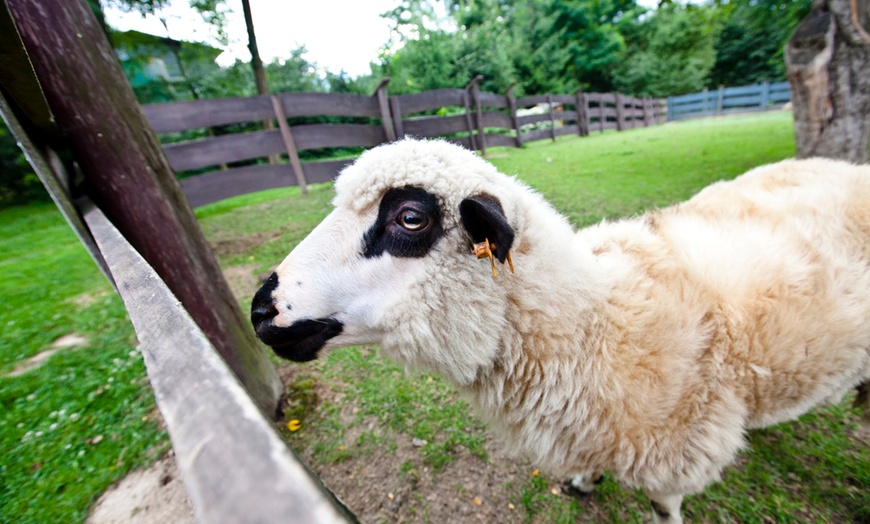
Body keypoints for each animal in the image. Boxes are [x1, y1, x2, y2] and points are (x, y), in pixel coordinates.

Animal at [250, 137, 870, 520]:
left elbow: (663, 507)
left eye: (410, 218)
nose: (260, 310)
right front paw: (585, 482)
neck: (600, 323)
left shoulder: (674, 459)